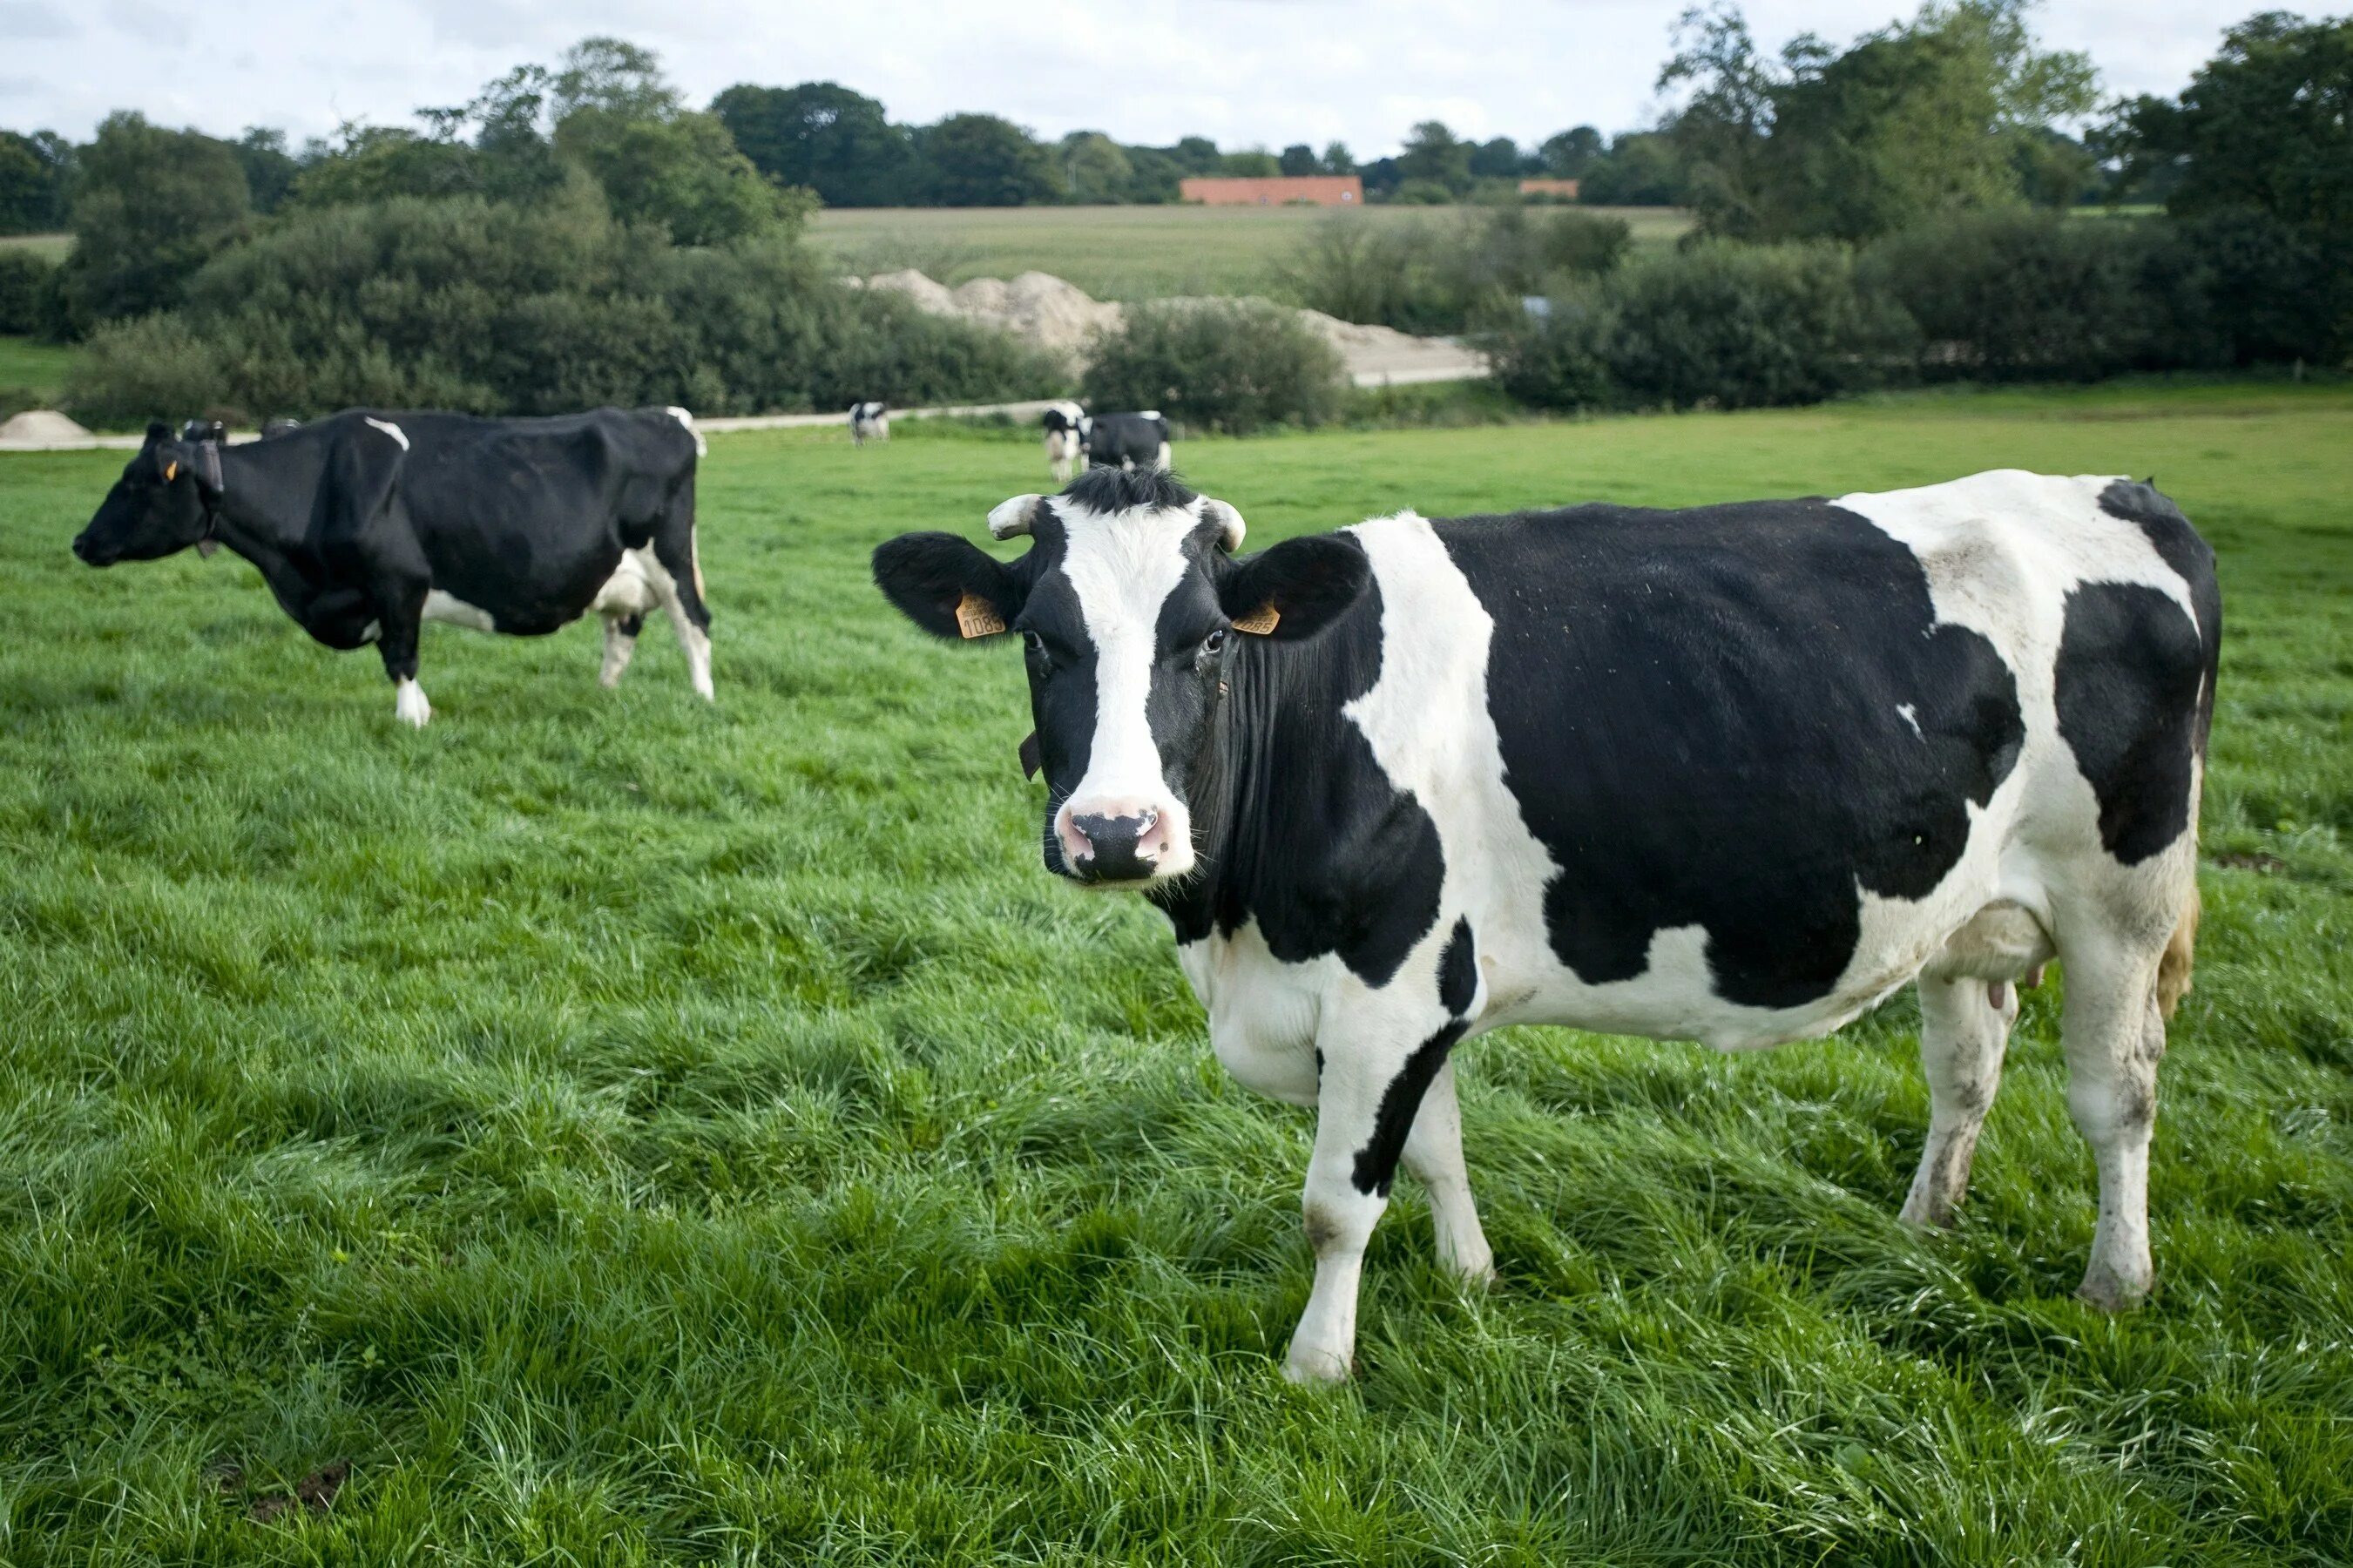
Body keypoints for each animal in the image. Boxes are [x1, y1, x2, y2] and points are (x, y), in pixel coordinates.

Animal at [76, 402, 715, 720]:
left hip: (670, 557)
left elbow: (401, 657)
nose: (81, 542)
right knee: (622, 631)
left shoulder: (399, 581)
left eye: (136, 483)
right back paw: (601, 696)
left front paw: (412, 717)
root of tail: (666, 415)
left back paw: (701, 700)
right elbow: (392, 653)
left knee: (694, 626)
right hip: (617, 574)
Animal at [875, 461, 2211, 1384]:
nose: (1114, 831)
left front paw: (1316, 1366)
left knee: (2118, 1093)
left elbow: (1337, 1200)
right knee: (1967, 1067)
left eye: (1204, 639)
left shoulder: (1388, 989)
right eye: (1043, 641)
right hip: (1964, 907)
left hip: (2123, 898)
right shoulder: (1417, 993)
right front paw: (1471, 1280)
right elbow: (1434, 1150)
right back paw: (1924, 1227)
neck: (1236, 929)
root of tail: (2120, 490)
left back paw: (2115, 1282)